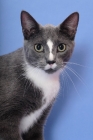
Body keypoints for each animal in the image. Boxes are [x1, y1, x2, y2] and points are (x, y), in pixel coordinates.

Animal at [0, 10, 79, 140]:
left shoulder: (40, 118)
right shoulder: (6, 119)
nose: (51, 61)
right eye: (38, 47)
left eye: (61, 47)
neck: (44, 80)